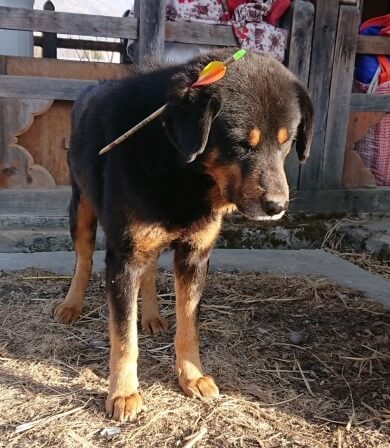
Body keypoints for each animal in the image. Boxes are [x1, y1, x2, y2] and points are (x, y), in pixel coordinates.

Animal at [53, 50, 314, 422]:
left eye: (287, 143)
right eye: (240, 144)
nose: (277, 206)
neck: (182, 170)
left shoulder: (194, 255)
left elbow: (189, 324)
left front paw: (192, 375)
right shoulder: (123, 258)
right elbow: (123, 337)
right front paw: (123, 392)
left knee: (148, 272)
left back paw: (150, 316)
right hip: (82, 209)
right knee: (84, 259)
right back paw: (71, 305)